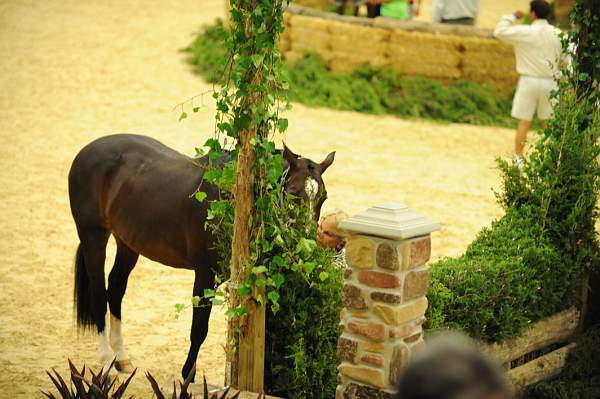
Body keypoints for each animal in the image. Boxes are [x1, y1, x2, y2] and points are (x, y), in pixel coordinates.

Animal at [68, 134, 336, 378]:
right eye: (293, 194)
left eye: (323, 197)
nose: (309, 244)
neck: (234, 200)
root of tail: (86, 151)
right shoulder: (205, 275)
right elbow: (199, 328)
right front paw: (188, 375)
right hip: (94, 237)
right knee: (98, 295)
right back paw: (106, 362)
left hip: (128, 242)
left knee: (115, 289)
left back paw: (121, 359)